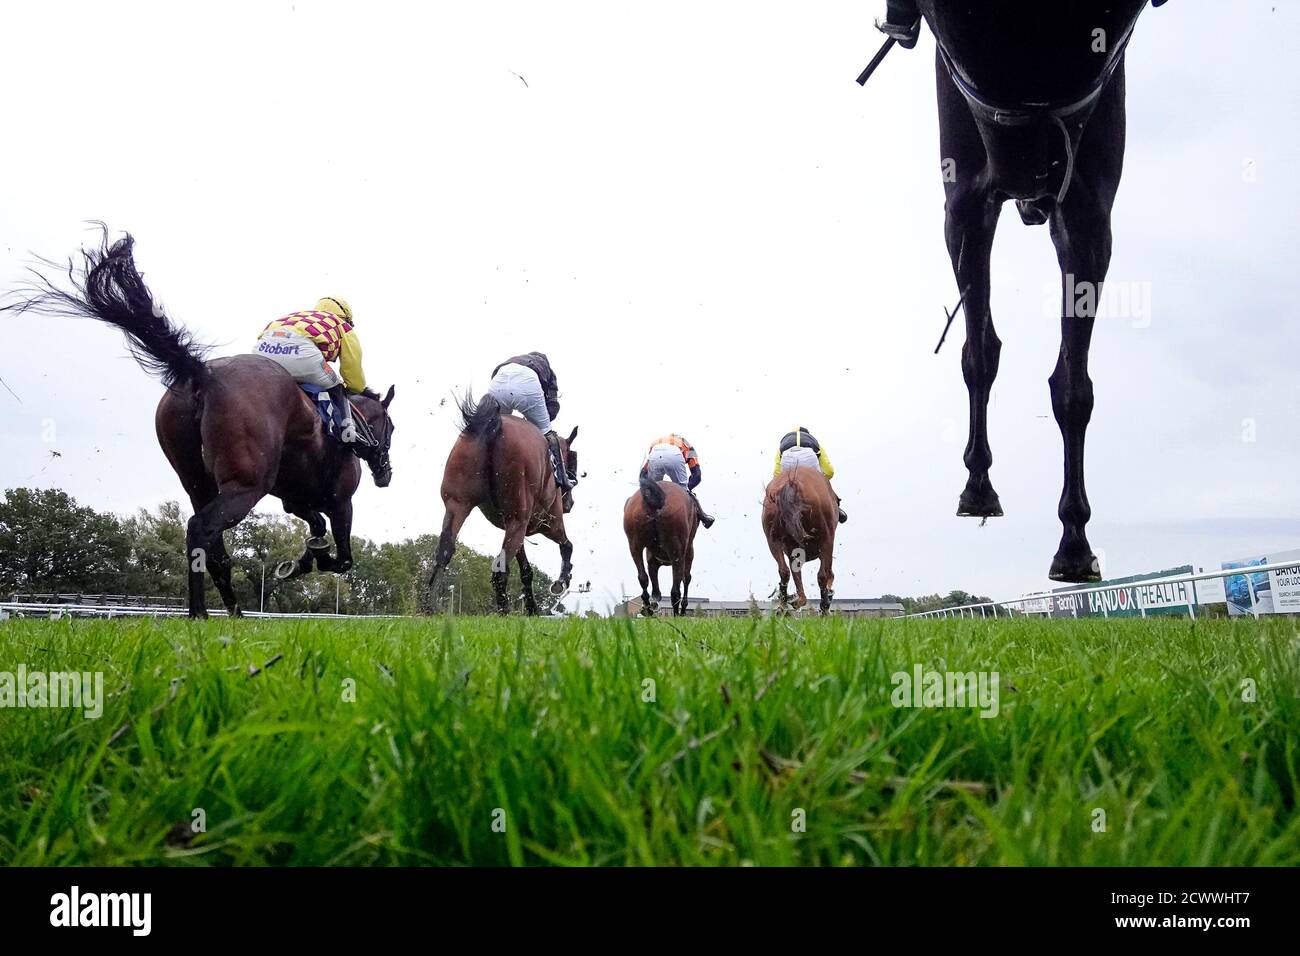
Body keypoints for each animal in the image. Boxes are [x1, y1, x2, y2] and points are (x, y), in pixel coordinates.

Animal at [8, 235, 395, 616]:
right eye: (391, 429)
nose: (385, 474)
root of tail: (204, 373)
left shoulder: (294, 499)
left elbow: (315, 526)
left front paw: (303, 559)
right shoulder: (341, 500)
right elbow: (343, 557)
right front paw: (312, 560)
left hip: (197, 480)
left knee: (215, 549)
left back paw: (231, 612)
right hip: (246, 486)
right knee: (200, 530)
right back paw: (199, 613)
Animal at [428, 395, 577, 613]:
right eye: (572, 460)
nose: (570, 504)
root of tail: (494, 424)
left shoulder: (519, 528)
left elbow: (526, 570)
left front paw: (532, 607)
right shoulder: (549, 522)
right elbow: (567, 545)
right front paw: (562, 581)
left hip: (458, 505)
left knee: (445, 549)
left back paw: (428, 603)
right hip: (519, 519)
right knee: (500, 569)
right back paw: (504, 612)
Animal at [626, 476, 702, 616]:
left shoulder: (652, 560)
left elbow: (655, 588)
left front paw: (653, 603)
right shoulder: (688, 552)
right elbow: (686, 578)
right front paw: (683, 608)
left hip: (634, 544)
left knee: (642, 577)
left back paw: (647, 607)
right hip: (677, 549)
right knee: (675, 589)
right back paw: (677, 614)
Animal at [759, 468, 842, 616]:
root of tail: (792, 483)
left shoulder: (793, 550)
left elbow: (795, 574)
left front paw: (795, 599)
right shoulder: (826, 543)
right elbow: (828, 573)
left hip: (773, 540)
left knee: (784, 571)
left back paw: (783, 606)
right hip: (826, 538)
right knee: (822, 574)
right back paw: (824, 607)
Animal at [909, 1, 1164, 582]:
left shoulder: (1084, 204)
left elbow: (1069, 384)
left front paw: (1073, 541)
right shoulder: (969, 189)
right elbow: (981, 352)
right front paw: (979, 484)